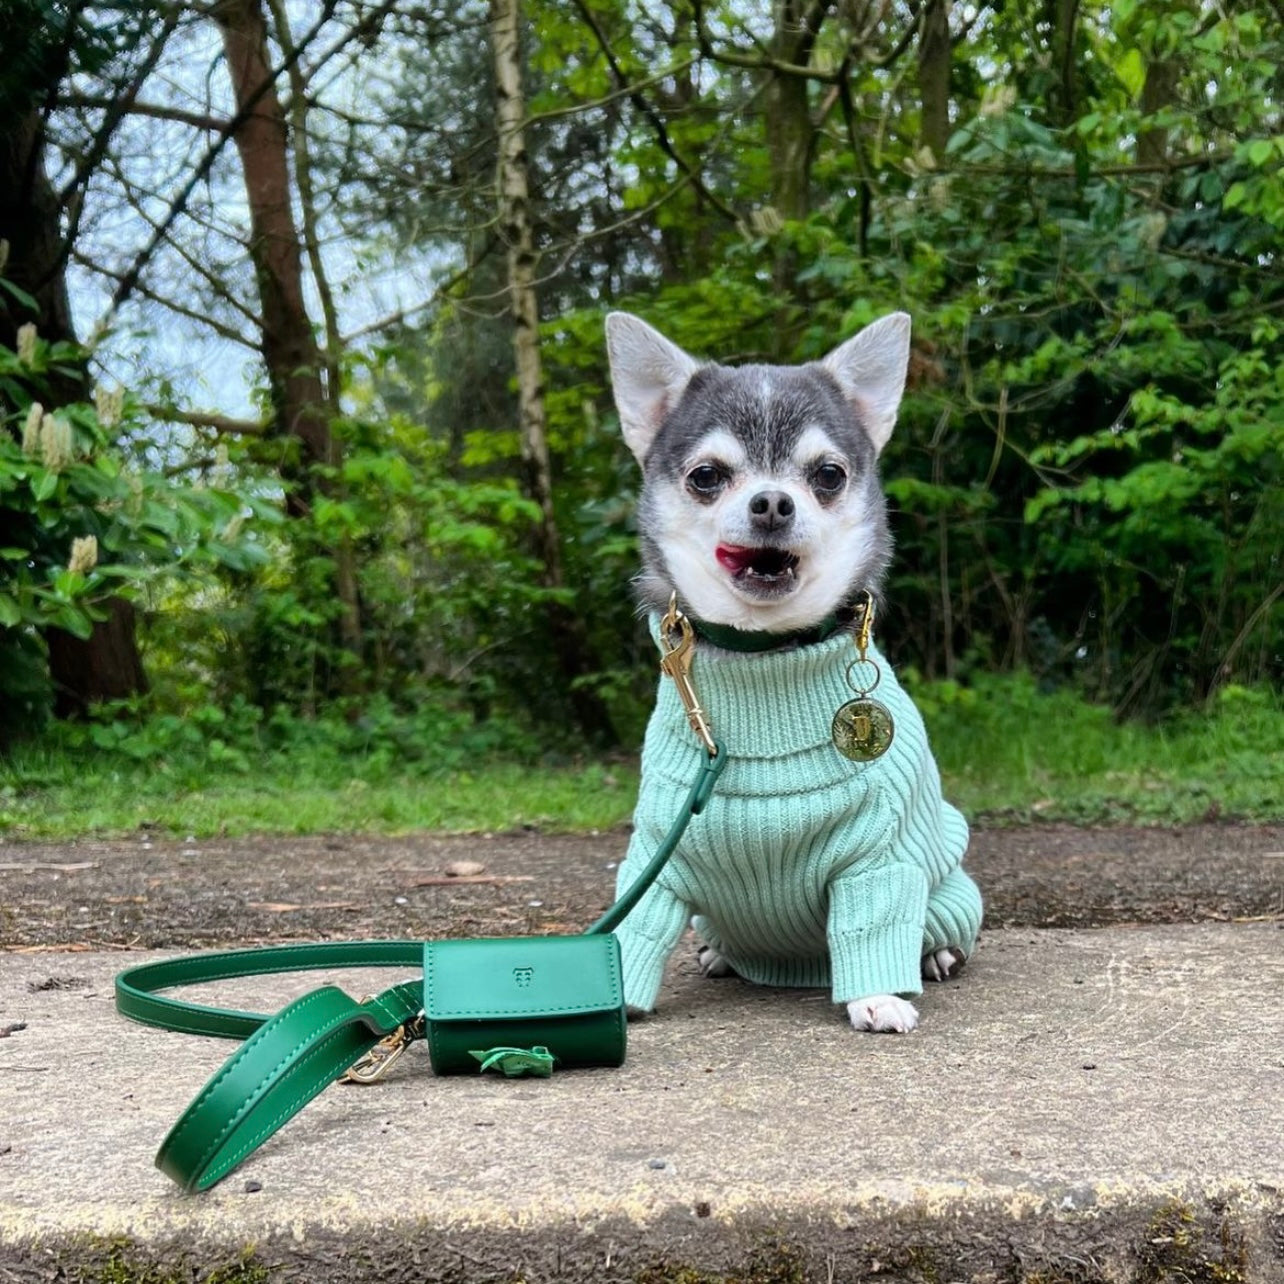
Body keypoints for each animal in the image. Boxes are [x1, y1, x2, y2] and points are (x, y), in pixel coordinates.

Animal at [603, 310, 980, 1032]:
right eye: (706, 476)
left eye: (828, 474)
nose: (774, 503)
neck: (764, 657)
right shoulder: (656, 855)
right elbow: (634, 925)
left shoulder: (878, 860)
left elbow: (872, 922)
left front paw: (878, 996)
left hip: (948, 887)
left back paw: (933, 957)